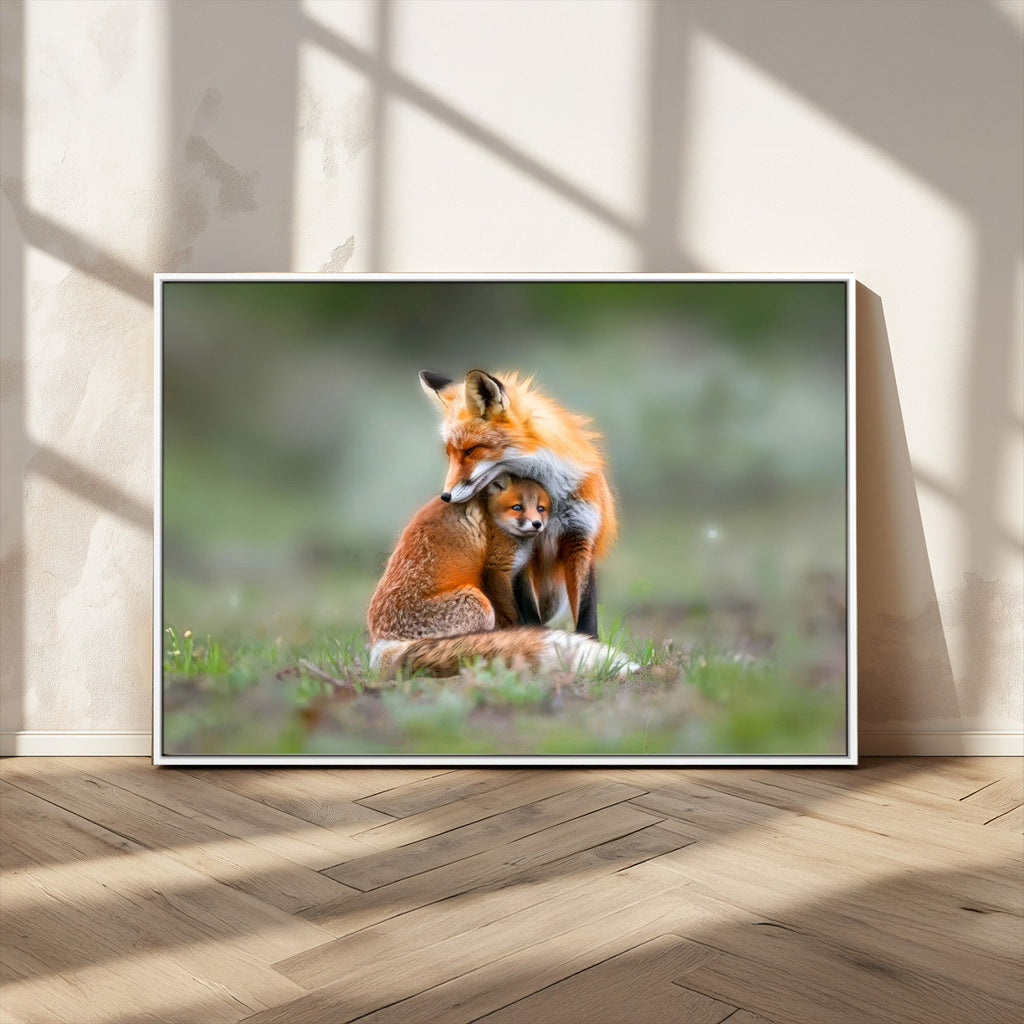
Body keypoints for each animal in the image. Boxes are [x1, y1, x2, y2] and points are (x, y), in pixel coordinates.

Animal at [368, 474, 634, 677]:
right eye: (517, 507)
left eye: (540, 508)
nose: (537, 524)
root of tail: (381, 643)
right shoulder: (497, 569)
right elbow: (513, 615)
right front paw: (523, 635)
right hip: (478, 603)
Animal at [419, 368, 616, 639]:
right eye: (450, 454)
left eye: (470, 450)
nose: (445, 496)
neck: (551, 499)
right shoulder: (522, 551)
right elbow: (529, 611)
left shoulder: (580, 538)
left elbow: (587, 612)